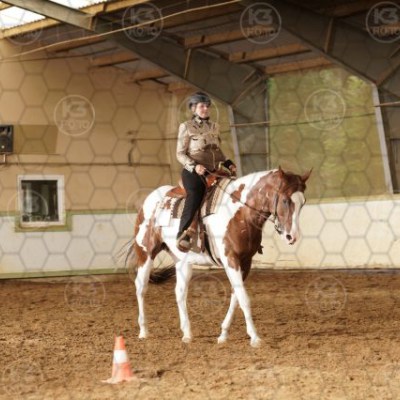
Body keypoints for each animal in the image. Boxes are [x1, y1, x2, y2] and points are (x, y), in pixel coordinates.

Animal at [127, 166, 311, 347]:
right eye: (285, 200)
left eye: (303, 202)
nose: (292, 236)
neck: (239, 212)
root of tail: (149, 200)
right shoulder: (231, 259)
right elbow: (244, 298)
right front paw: (254, 337)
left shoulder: (245, 262)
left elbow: (236, 296)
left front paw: (223, 334)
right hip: (146, 253)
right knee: (141, 287)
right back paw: (143, 331)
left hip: (182, 261)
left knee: (179, 292)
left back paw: (187, 334)